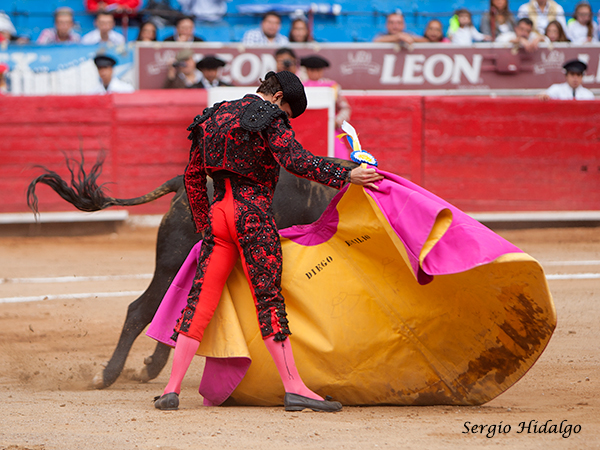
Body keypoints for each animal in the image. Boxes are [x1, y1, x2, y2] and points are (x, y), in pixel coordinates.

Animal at [27, 153, 356, 388]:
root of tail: (180, 183)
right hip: (172, 262)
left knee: (175, 309)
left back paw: (149, 367)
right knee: (141, 310)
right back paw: (107, 376)